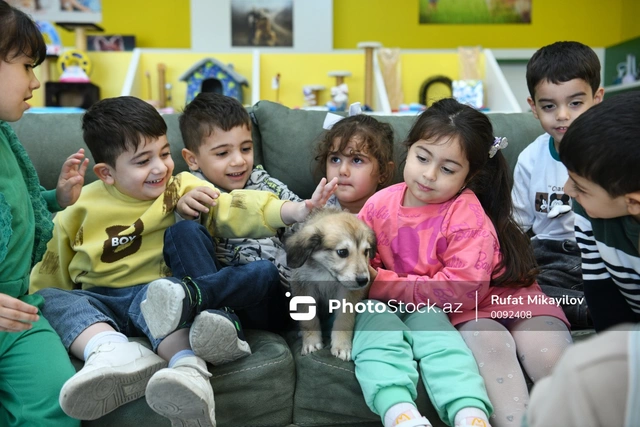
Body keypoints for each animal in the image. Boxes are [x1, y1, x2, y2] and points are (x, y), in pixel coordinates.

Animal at [284, 207, 376, 362]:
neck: (326, 272)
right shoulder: (303, 286)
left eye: (366, 251)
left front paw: (342, 346)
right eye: (342, 252)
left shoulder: (347, 292)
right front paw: (311, 342)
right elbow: (309, 319)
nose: (363, 280)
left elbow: (344, 319)